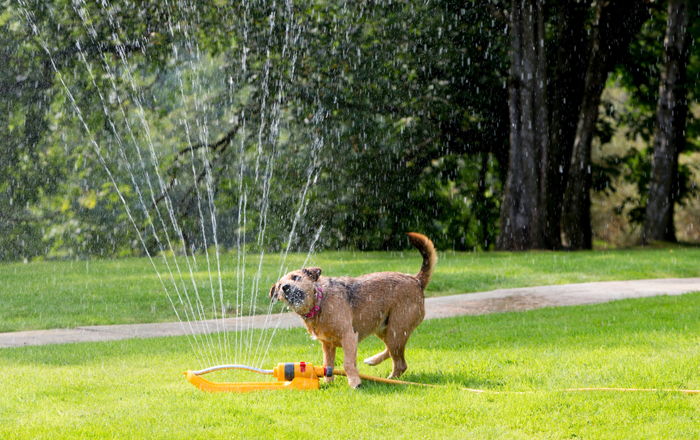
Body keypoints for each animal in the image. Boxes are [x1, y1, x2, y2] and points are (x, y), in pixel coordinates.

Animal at [270, 232, 438, 386]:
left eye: (295, 277)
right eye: (279, 286)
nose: (285, 287)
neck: (319, 303)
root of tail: (416, 280)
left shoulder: (348, 336)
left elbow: (347, 363)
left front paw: (354, 382)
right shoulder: (327, 344)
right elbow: (328, 364)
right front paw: (328, 382)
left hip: (396, 330)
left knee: (400, 363)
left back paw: (390, 379)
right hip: (383, 328)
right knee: (393, 354)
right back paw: (373, 361)